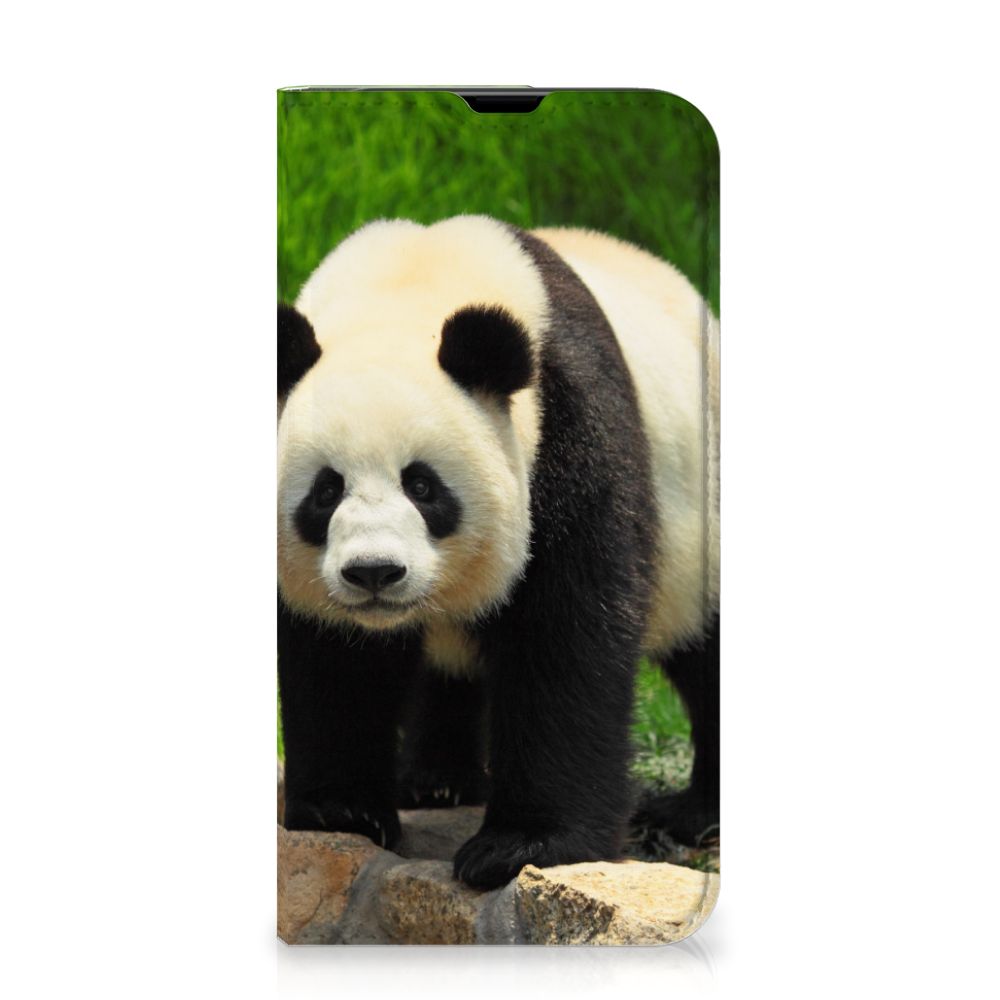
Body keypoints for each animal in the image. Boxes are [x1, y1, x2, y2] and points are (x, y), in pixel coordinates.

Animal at [277, 215, 719, 891]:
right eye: (326, 491)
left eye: (423, 485)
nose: (375, 573)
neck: (408, 288)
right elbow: (333, 657)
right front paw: (341, 810)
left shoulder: (568, 429)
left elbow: (565, 635)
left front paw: (521, 846)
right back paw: (436, 781)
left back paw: (694, 814)